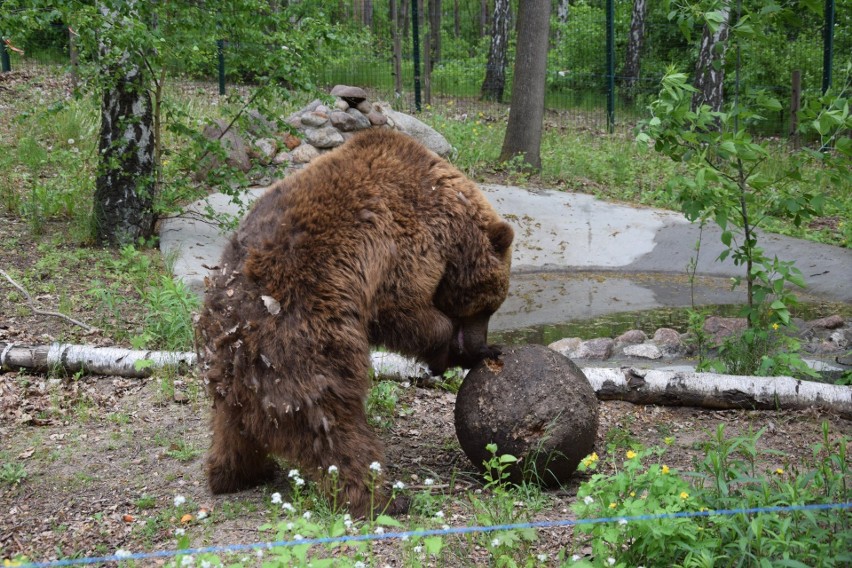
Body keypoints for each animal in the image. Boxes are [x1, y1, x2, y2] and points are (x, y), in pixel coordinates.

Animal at [200, 126, 512, 516]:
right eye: (488, 307)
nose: (479, 345)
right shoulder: (404, 241)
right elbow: (402, 308)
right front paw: (447, 353)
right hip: (305, 347)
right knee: (335, 428)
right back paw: (381, 496)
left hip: (230, 371)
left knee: (230, 429)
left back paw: (234, 474)